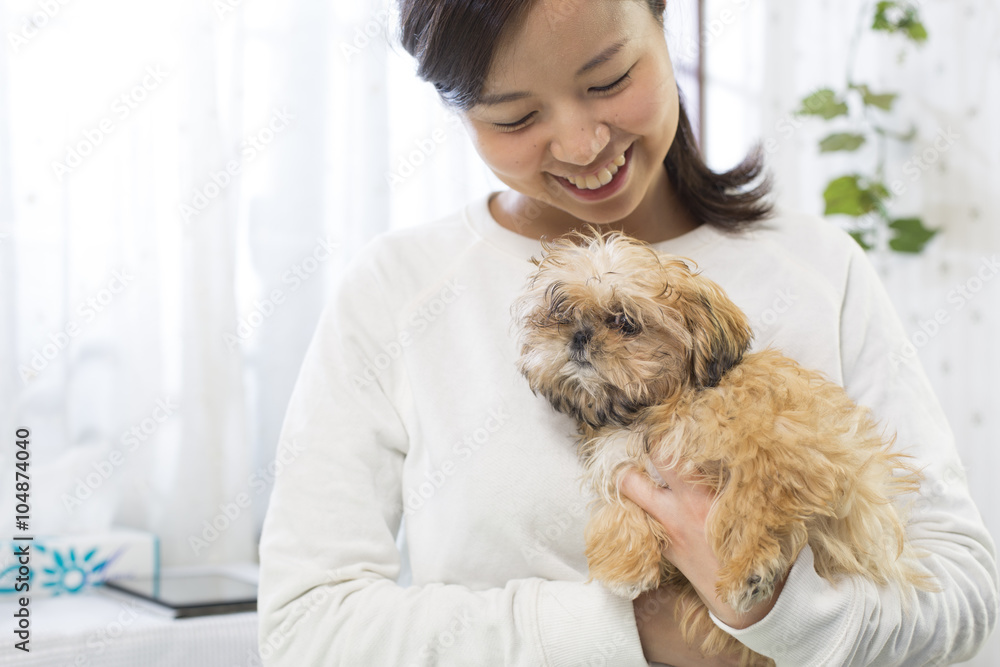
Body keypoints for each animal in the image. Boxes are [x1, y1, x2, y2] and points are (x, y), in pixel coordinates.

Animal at [512, 228, 932, 664]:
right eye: (561, 316)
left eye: (626, 323)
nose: (578, 335)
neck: (659, 405)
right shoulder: (622, 462)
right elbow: (621, 506)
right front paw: (624, 566)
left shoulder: (788, 453)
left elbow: (750, 506)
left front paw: (749, 567)